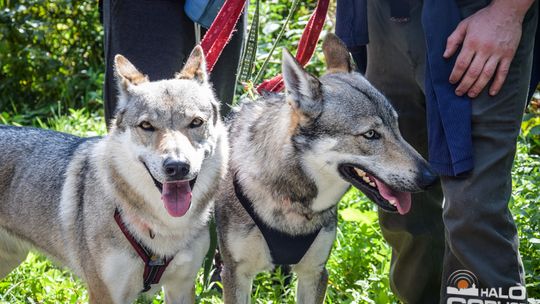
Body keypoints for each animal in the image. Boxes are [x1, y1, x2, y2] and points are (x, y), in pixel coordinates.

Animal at [0, 45, 228, 304]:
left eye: (196, 122)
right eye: (147, 126)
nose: (178, 166)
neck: (165, 229)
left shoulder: (181, 288)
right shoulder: (105, 293)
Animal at [213, 34, 436, 302]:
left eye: (396, 126)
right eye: (371, 134)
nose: (430, 178)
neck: (297, 201)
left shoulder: (316, 272)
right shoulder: (235, 275)